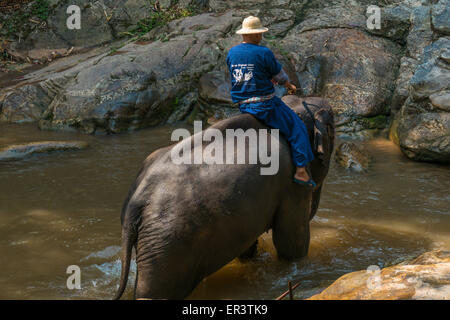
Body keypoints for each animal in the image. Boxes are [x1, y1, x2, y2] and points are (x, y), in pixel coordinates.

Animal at [114, 95, 336, 300]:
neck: (293, 107)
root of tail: (136, 200)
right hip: (167, 246)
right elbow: (290, 243)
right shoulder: (292, 181)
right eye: (333, 129)